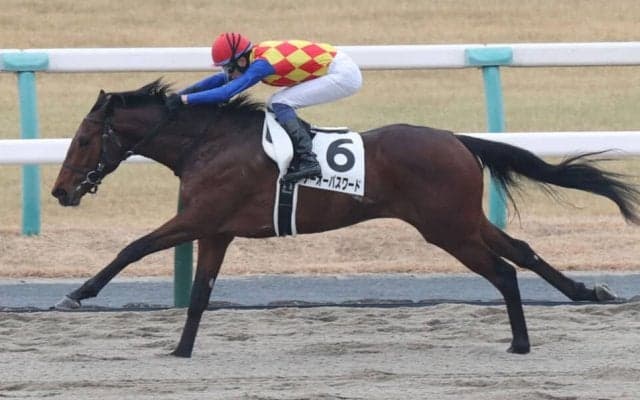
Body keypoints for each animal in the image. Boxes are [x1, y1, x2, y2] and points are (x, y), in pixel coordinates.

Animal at [51, 79, 640, 358]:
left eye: (82, 140)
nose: (59, 191)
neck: (206, 143)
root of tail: (456, 139)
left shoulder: (199, 218)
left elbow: (132, 248)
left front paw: (75, 295)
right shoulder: (216, 230)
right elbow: (198, 295)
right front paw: (180, 350)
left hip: (446, 228)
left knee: (503, 270)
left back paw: (521, 342)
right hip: (462, 220)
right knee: (523, 252)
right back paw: (587, 292)